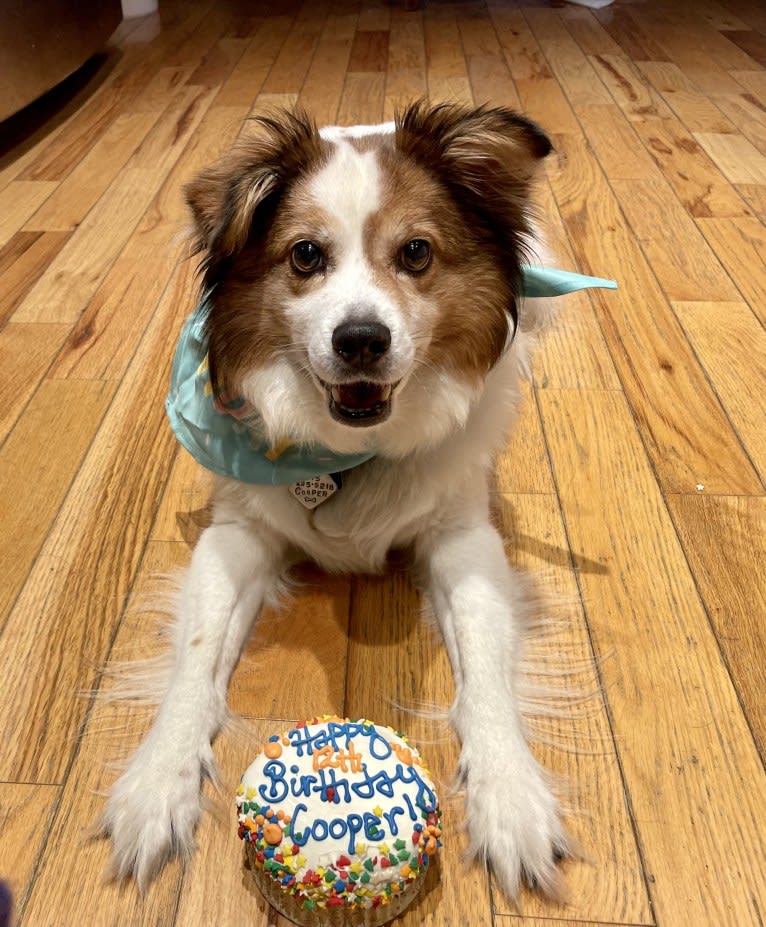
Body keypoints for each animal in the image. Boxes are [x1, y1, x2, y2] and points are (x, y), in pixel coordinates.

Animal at [100, 99, 592, 900]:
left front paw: (510, 794)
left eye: (416, 252)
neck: (343, 453)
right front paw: (156, 782)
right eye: (305, 255)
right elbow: (197, 660)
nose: (361, 339)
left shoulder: (464, 539)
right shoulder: (237, 533)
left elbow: (485, 668)